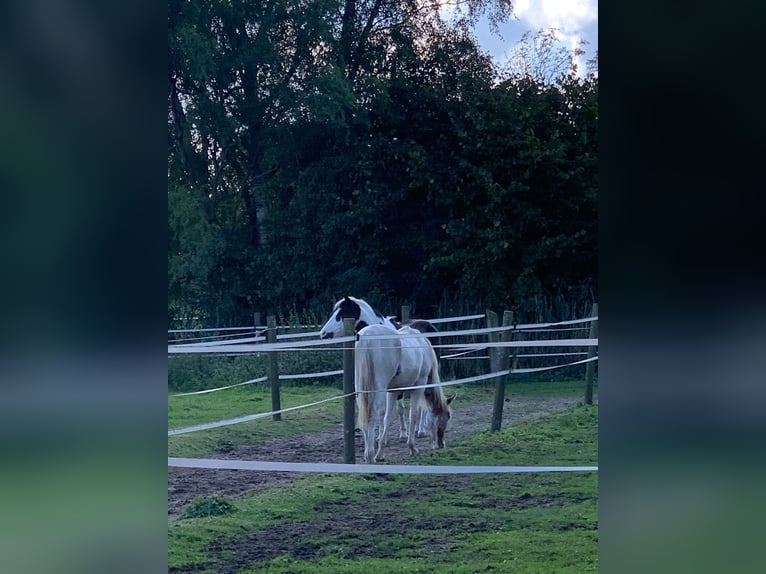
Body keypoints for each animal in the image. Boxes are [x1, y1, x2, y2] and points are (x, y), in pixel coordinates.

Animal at [356, 324, 452, 464]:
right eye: (448, 416)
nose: (441, 444)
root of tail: (367, 337)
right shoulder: (419, 385)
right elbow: (414, 415)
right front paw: (412, 448)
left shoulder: (393, 391)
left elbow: (387, 418)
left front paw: (381, 452)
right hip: (377, 391)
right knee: (371, 415)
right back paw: (370, 456)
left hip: (360, 390)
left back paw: (368, 454)